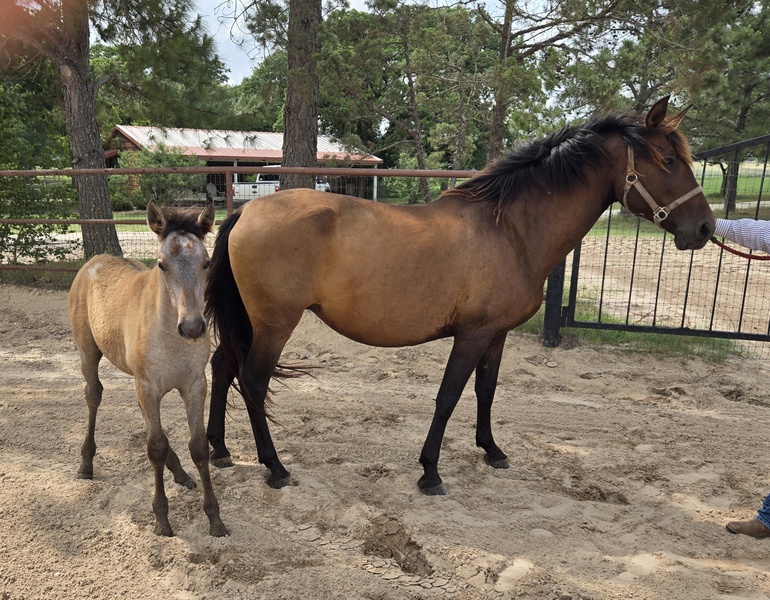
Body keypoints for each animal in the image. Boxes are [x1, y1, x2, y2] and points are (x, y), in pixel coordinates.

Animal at [68, 201, 228, 537]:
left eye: (206, 262)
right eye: (161, 264)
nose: (192, 327)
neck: (169, 335)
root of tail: (93, 262)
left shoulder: (195, 385)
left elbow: (198, 446)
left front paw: (215, 518)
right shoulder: (149, 386)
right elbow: (155, 446)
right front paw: (162, 519)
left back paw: (180, 472)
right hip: (88, 352)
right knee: (93, 395)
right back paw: (86, 464)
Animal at [204, 96, 715, 496]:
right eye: (668, 162)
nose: (705, 228)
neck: (510, 230)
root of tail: (246, 212)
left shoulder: (495, 335)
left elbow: (485, 391)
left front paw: (492, 450)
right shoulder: (470, 335)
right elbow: (448, 395)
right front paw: (430, 472)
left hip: (249, 322)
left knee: (222, 367)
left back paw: (219, 450)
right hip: (275, 324)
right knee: (252, 381)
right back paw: (274, 467)